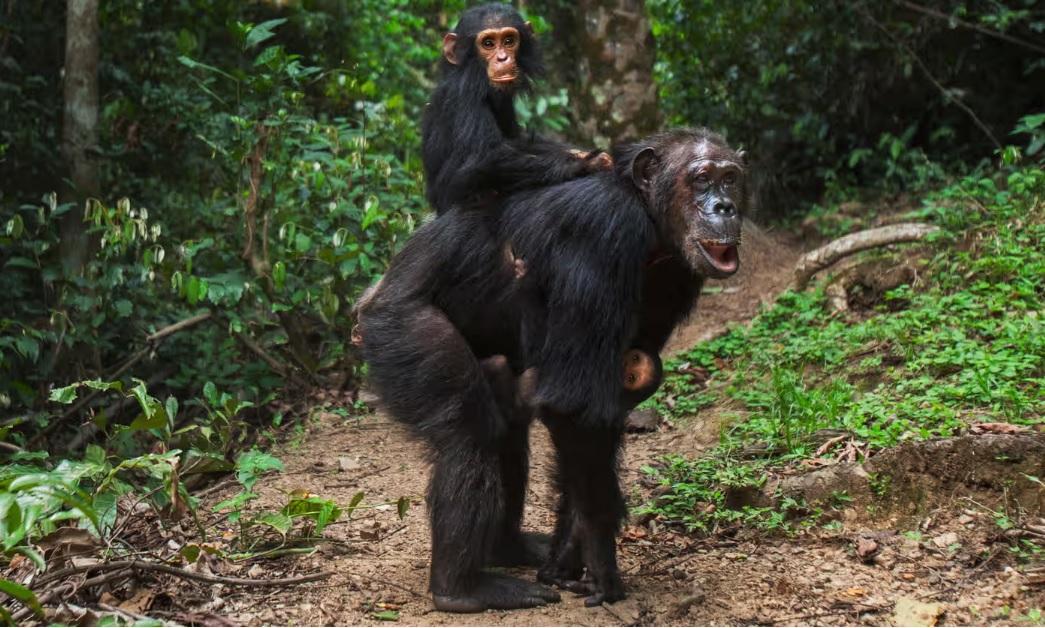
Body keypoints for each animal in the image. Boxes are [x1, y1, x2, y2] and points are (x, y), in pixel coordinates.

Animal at [359, 128, 744, 610]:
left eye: (730, 178)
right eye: (701, 178)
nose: (725, 206)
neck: (646, 213)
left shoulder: (675, 276)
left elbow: (594, 415)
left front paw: (568, 552)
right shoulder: (603, 231)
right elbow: (572, 406)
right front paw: (600, 556)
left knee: (505, 427)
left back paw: (508, 548)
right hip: (400, 331)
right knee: (469, 434)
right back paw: (461, 589)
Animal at [420, 2, 610, 214]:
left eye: (509, 41)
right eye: (488, 43)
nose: (503, 58)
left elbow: (517, 137)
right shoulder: (466, 90)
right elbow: (486, 155)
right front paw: (584, 163)